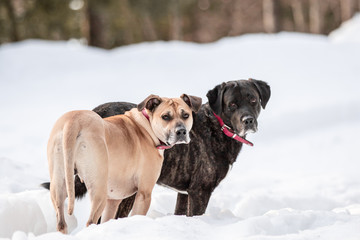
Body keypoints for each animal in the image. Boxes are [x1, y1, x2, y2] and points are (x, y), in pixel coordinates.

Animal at [41, 79, 270, 218]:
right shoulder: (200, 191)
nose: (248, 120)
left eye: (253, 100)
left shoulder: (184, 193)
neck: (218, 125)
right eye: (232, 105)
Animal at [46, 94, 201, 232]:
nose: (181, 131)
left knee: (61, 222)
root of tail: (73, 122)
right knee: (90, 221)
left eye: (185, 115)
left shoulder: (113, 200)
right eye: (165, 117)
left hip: (58, 183)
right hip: (98, 189)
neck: (146, 126)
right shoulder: (144, 194)